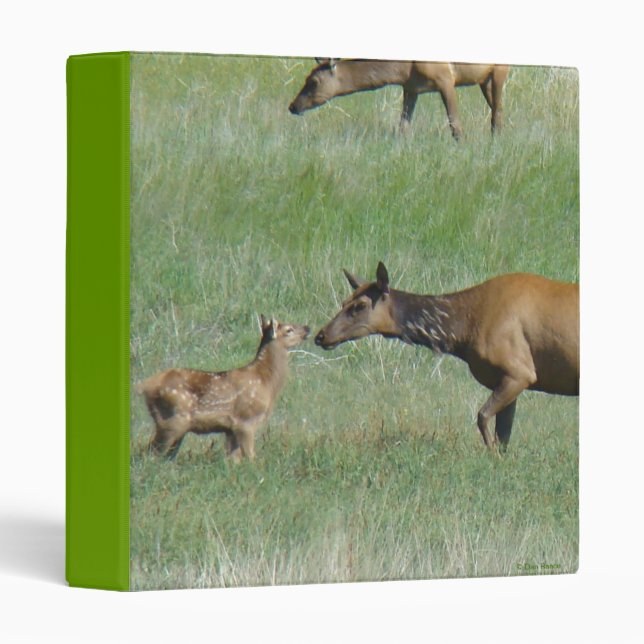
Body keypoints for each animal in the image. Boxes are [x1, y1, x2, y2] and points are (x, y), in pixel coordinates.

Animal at [136, 316, 310, 462]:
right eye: (289, 329)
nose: (307, 327)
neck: (266, 381)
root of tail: (146, 385)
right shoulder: (245, 420)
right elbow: (251, 457)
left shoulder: (230, 429)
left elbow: (233, 460)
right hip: (171, 420)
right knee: (151, 453)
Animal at [289, 58, 510, 139]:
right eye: (306, 78)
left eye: (314, 81)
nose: (293, 106)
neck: (403, 70)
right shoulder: (411, 88)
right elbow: (403, 127)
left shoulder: (445, 79)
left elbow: (455, 125)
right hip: (483, 80)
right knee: (497, 110)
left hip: (500, 71)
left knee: (497, 113)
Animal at [315, 262, 579, 451]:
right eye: (343, 302)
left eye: (359, 306)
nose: (321, 335)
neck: (462, 332)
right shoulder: (507, 377)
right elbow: (503, 436)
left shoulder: (520, 371)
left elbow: (482, 417)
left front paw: (490, 457)